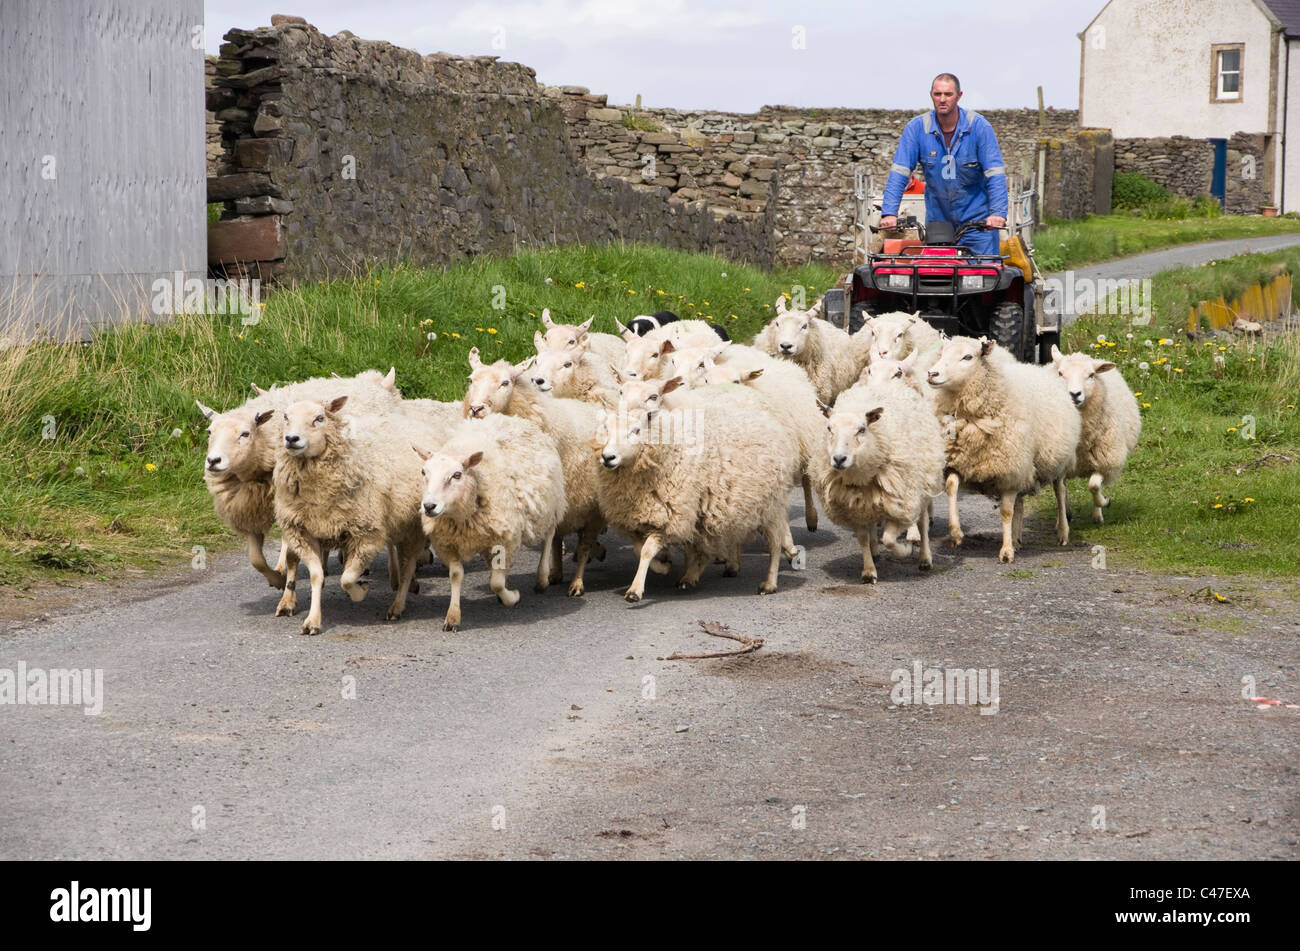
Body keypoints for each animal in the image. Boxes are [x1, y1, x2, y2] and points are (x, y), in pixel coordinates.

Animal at [271, 397, 449, 634]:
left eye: (319, 418)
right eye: (286, 417)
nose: (291, 439)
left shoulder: (367, 533)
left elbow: (346, 578)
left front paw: (360, 590)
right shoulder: (302, 532)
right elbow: (317, 575)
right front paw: (312, 620)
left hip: (413, 527)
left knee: (408, 565)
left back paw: (397, 605)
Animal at [410, 413, 564, 631]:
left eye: (457, 475)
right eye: (424, 472)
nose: (429, 506)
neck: (461, 518)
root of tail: (512, 418)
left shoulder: (506, 540)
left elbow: (496, 584)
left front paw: (512, 597)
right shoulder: (448, 543)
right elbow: (456, 575)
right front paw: (453, 617)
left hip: (552, 504)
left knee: (549, 537)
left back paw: (542, 579)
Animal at [811, 379, 946, 579]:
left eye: (861, 429)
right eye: (829, 428)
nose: (839, 459)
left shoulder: (901, 505)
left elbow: (889, 539)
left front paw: (905, 550)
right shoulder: (853, 508)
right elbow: (863, 538)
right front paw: (869, 571)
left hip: (920, 486)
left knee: (922, 522)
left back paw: (924, 558)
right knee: (873, 524)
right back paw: (875, 551)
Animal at [930, 335, 1081, 561]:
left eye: (968, 357)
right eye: (941, 353)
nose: (932, 374)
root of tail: (1035, 367)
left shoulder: (1009, 470)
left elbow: (1006, 512)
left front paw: (1006, 551)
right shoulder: (959, 462)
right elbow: (951, 488)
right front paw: (956, 534)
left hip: (1057, 462)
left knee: (1060, 491)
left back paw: (1062, 532)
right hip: (1024, 467)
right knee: (1021, 502)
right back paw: (1017, 538)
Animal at [1050, 342, 1144, 519]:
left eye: (1091, 375)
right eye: (1060, 373)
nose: (1074, 394)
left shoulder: (1105, 461)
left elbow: (1093, 486)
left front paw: (1103, 503)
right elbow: (1060, 490)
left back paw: (1097, 515)